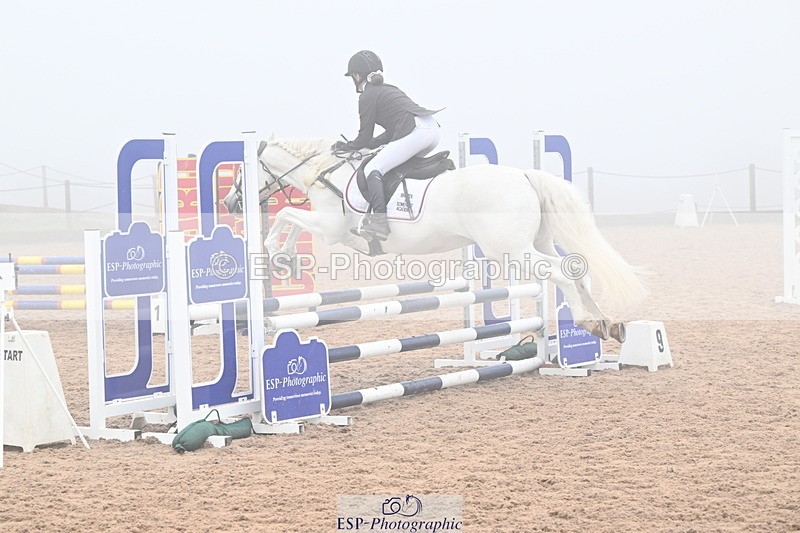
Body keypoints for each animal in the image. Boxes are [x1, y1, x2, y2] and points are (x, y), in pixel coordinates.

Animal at [223, 137, 646, 342]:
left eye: (239, 172)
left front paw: (279, 254)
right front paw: (288, 257)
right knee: (577, 268)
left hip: (512, 250)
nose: (228, 202)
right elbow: (293, 221)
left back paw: (588, 322)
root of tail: (526, 175)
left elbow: (286, 217)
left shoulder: (331, 228)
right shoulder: (339, 233)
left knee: (561, 272)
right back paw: (606, 323)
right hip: (534, 244)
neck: (324, 172)